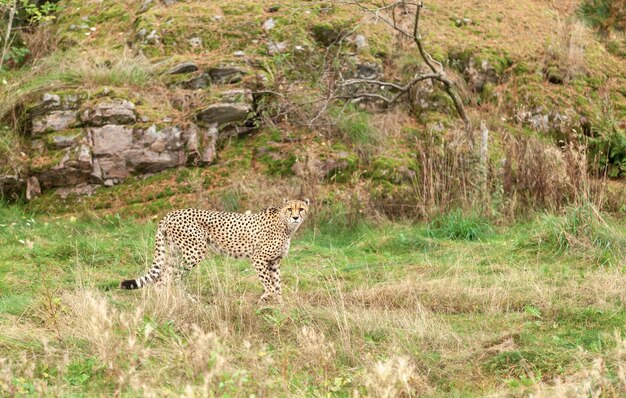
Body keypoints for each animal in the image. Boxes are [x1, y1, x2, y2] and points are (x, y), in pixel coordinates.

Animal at [118, 197, 308, 304]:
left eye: (301, 209)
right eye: (290, 209)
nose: (295, 217)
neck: (286, 225)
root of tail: (171, 213)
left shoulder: (274, 262)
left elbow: (277, 284)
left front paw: (280, 305)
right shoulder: (258, 259)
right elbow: (269, 284)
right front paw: (266, 298)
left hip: (174, 253)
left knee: (162, 278)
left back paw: (165, 302)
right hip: (194, 251)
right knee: (176, 278)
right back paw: (186, 301)